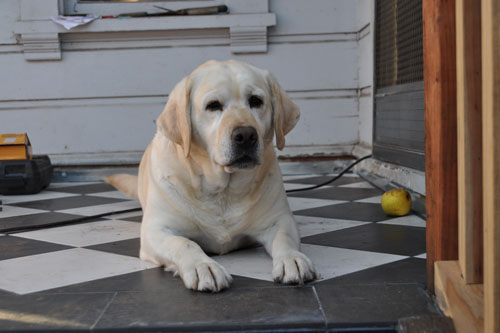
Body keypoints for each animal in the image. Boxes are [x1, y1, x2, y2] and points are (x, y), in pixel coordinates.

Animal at [106, 59, 316, 290]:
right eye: (213, 105)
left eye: (256, 101)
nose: (246, 135)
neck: (222, 191)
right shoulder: (156, 230)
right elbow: (184, 243)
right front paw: (203, 266)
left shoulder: (280, 220)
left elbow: (284, 238)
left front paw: (292, 260)